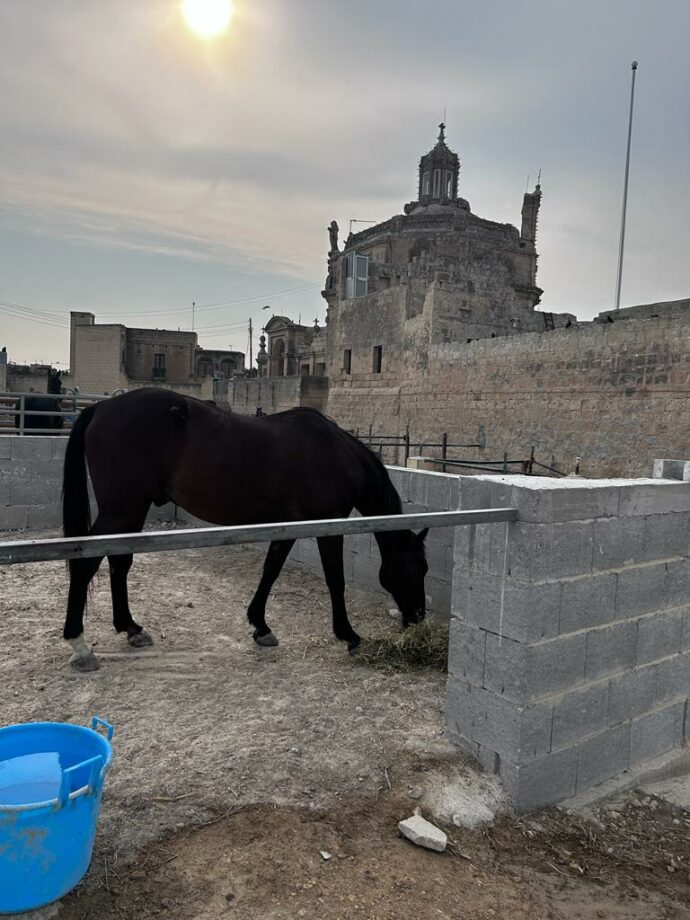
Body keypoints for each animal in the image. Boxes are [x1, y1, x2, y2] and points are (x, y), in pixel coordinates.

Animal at [60, 384, 424, 672]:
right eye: (418, 567)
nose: (418, 616)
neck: (334, 452)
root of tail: (101, 407)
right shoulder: (328, 523)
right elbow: (335, 580)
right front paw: (348, 635)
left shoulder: (288, 525)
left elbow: (271, 569)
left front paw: (261, 626)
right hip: (122, 509)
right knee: (86, 562)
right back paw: (80, 644)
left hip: (130, 511)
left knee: (119, 562)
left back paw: (130, 627)